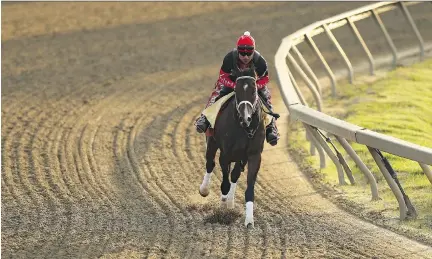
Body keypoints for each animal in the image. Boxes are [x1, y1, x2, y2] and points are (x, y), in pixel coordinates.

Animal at [198, 66, 264, 229]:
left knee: (235, 174)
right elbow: (225, 183)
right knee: (210, 164)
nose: (245, 118)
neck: (244, 128)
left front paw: (249, 221)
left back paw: (230, 202)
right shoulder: (225, 154)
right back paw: (205, 189)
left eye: (254, 90)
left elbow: (248, 186)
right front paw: (222, 208)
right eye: (236, 89)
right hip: (212, 142)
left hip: (240, 157)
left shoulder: (254, 155)